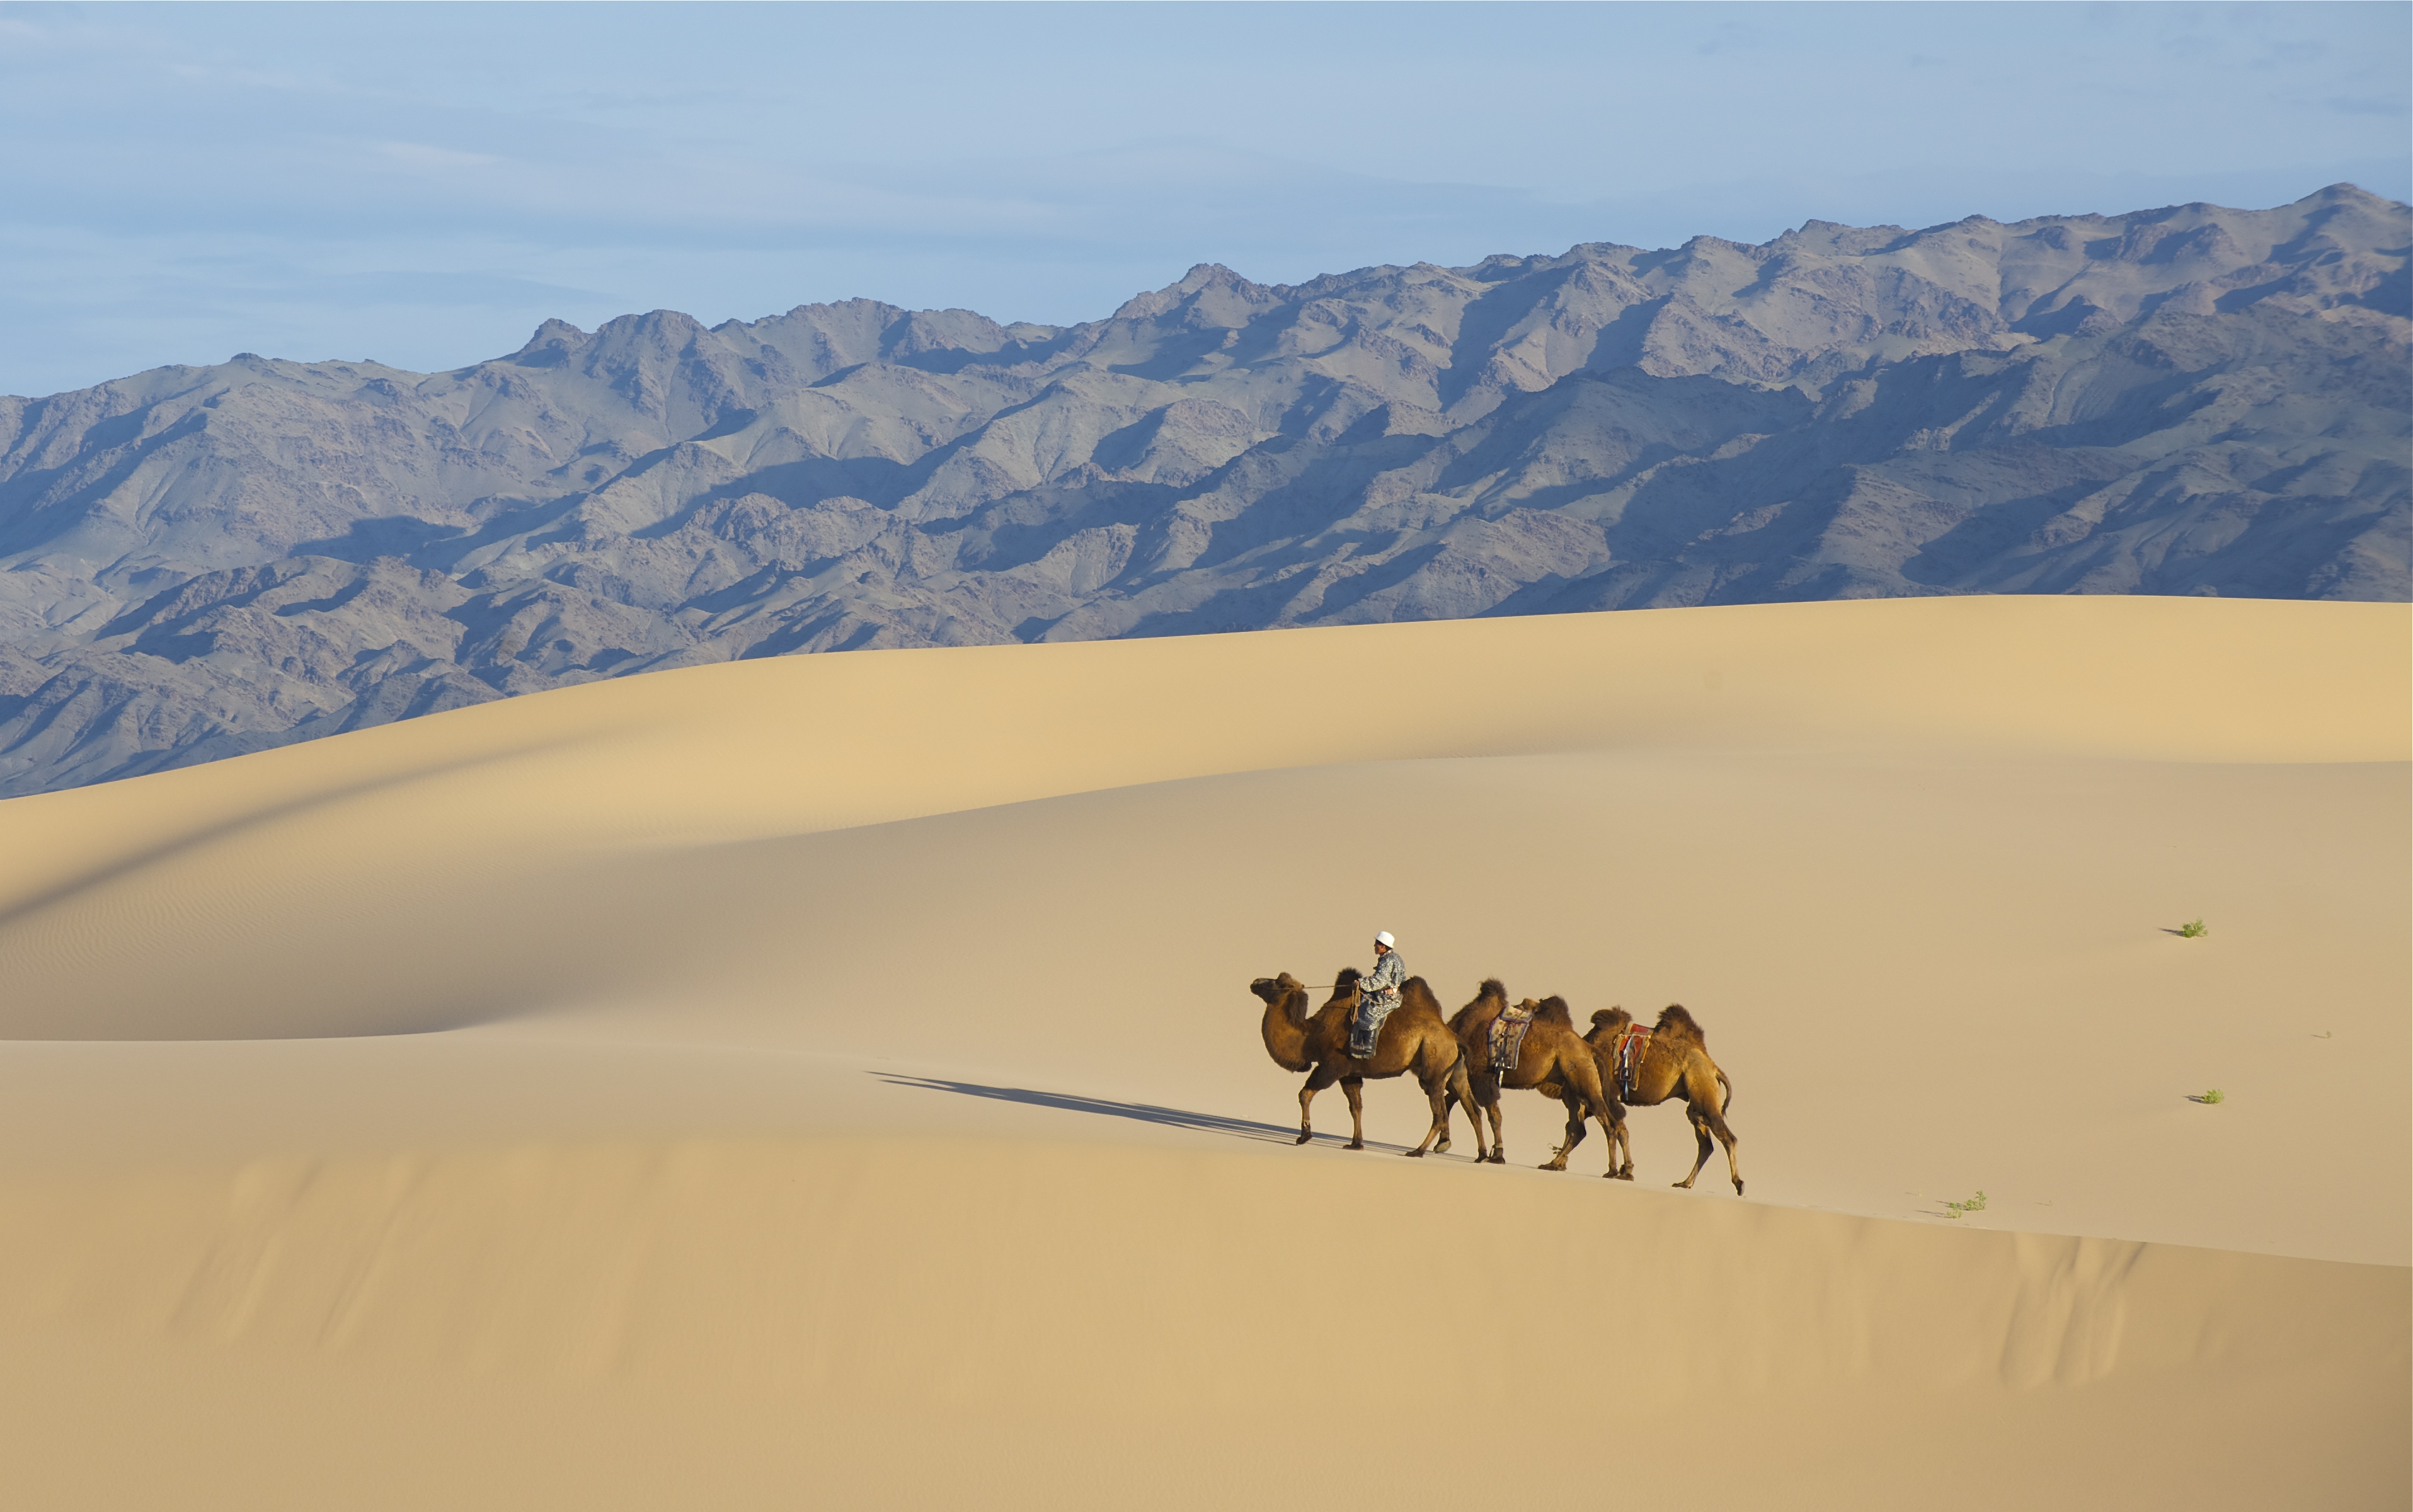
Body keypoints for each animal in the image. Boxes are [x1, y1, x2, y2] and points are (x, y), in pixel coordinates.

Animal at [1245, 969, 1486, 1157]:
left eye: (1277, 982)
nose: (1255, 982)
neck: (1310, 1035)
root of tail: (1454, 1038)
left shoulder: (1332, 1066)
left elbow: (1305, 1094)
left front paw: (1304, 1136)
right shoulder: (1350, 1073)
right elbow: (1356, 1107)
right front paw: (1355, 1144)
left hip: (1435, 1069)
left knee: (1439, 1113)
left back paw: (1418, 1151)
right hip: (1455, 1072)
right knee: (1473, 1109)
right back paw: (1481, 1155)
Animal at [1438, 983, 1631, 1181]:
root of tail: (1589, 1048)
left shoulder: (1480, 1076)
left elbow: (1492, 1116)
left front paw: (1496, 1156)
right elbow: (1449, 1103)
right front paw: (1442, 1143)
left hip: (1583, 1079)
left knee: (1608, 1123)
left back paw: (1612, 1171)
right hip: (1571, 1089)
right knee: (1579, 1128)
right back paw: (1552, 1164)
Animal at [1554, 1008, 1746, 1196]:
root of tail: (1714, 1068)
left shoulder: (1606, 1094)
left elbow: (1596, 1128)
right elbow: (1602, 1128)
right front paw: (1625, 1171)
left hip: (1703, 1090)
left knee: (1728, 1138)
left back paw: (1739, 1184)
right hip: (1695, 1106)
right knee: (1706, 1144)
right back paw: (1684, 1183)